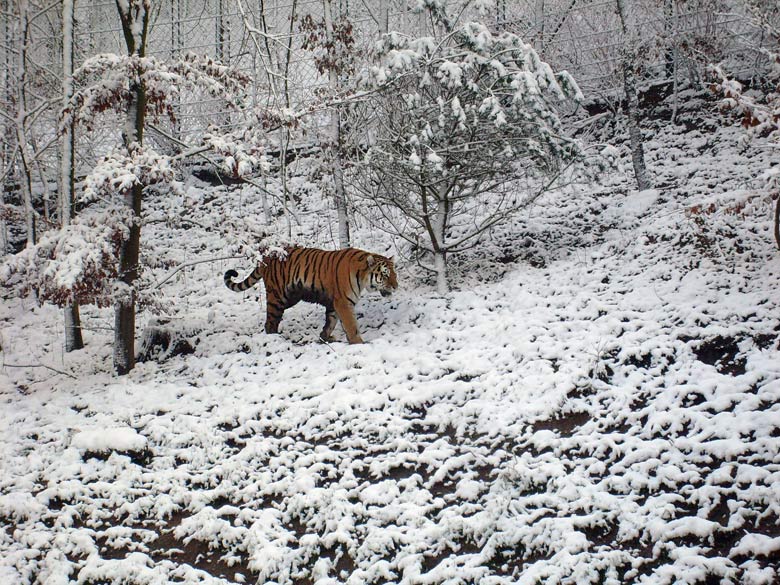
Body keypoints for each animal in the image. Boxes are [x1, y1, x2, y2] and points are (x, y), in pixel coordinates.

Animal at [224, 245, 396, 342]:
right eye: (385, 275)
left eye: (395, 273)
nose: (396, 286)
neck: (362, 276)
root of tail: (266, 257)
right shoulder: (343, 302)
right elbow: (351, 324)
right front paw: (358, 342)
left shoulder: (334, 302)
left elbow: (331, 321)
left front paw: (325, 337)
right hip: (277, 297)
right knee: (270, 322)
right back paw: (274, 338)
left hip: (290, 298)